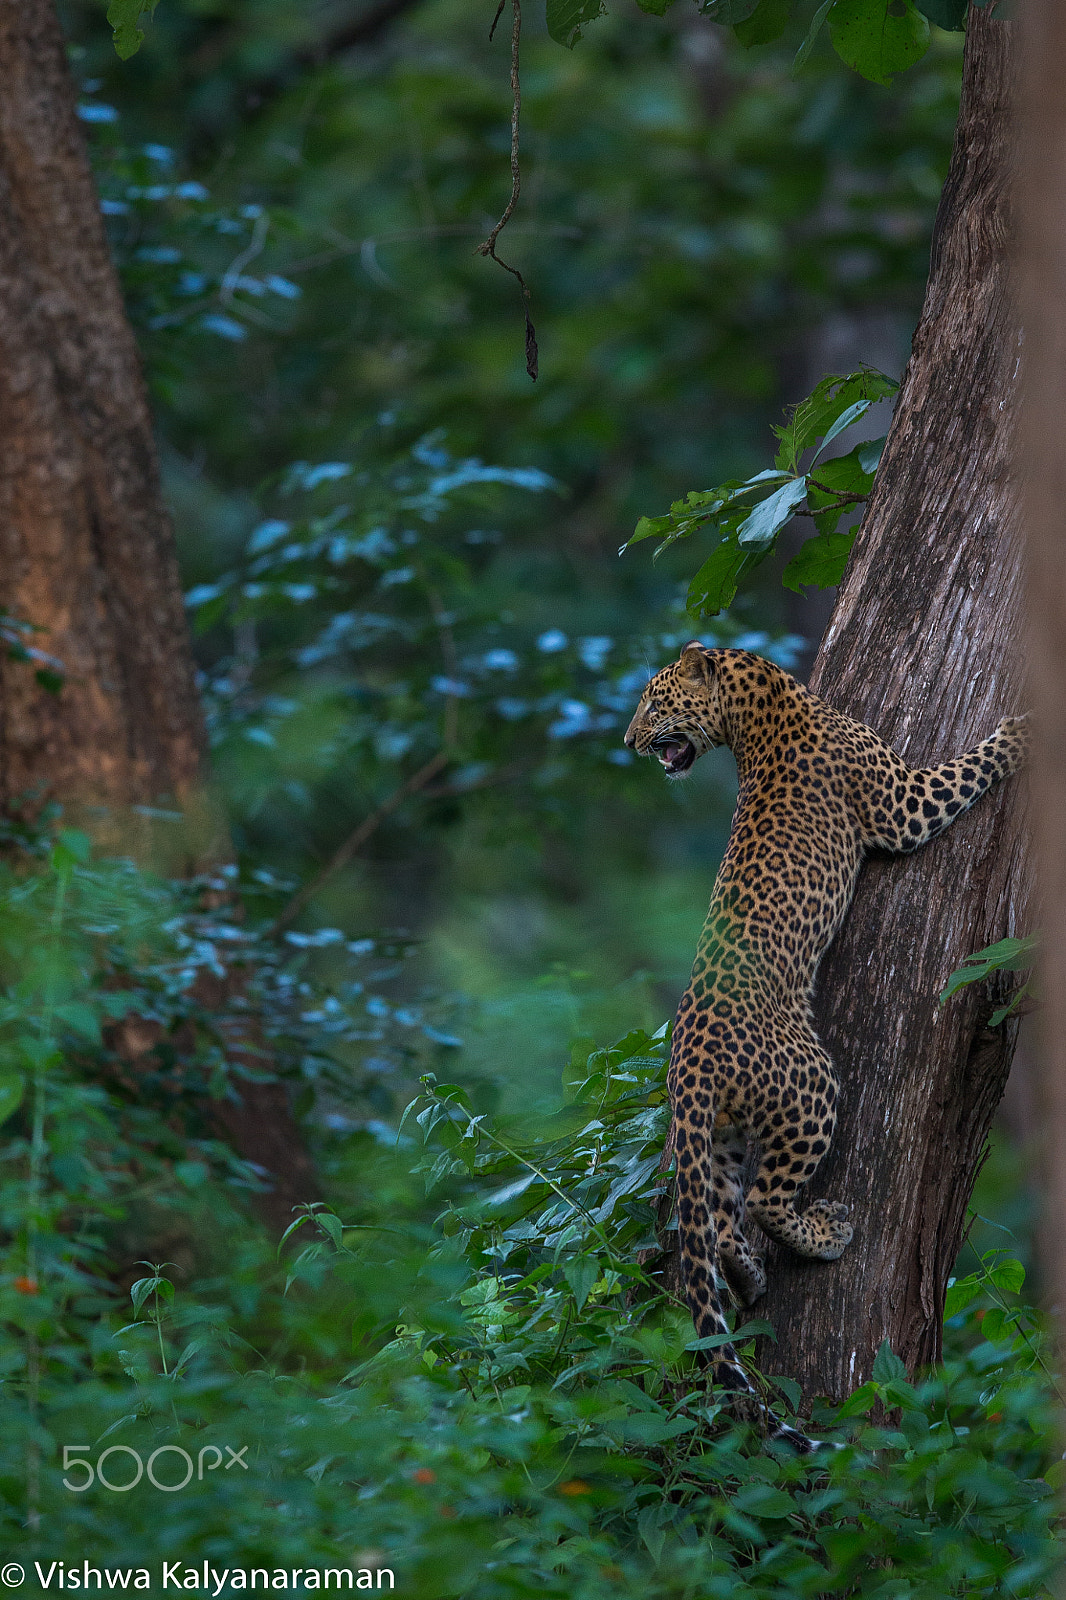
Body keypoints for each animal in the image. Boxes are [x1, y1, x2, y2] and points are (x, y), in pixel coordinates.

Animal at [624, 640, 1024, 1452]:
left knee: (718, 1222)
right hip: (811, 1084)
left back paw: (747, 1275)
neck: (761, 701)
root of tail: (686, 1060)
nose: (629, 742)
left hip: (720, 1134)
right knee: (767, 1198)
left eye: (654, 701)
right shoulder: (905, 804)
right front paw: (1022, 733)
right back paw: (826, 1232)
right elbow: (971, 766)